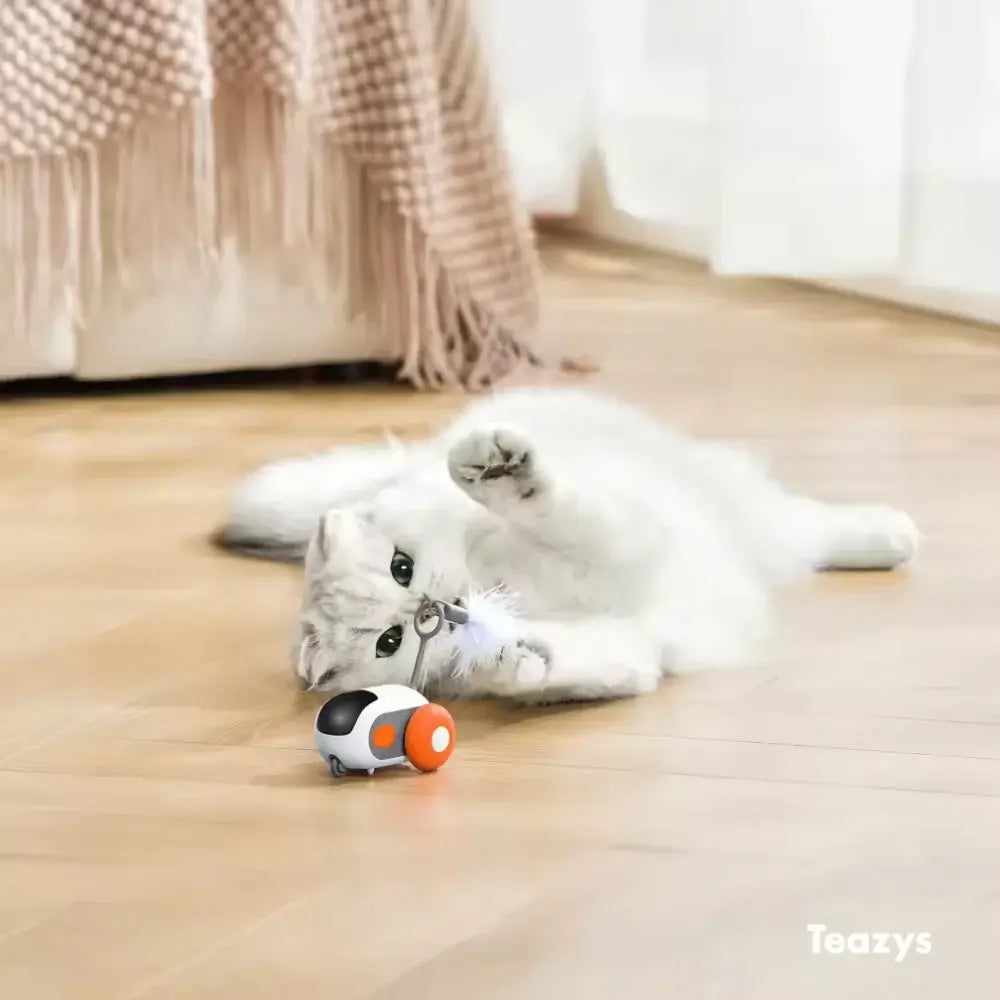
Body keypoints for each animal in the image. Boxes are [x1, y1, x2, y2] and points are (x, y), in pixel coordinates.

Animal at [223, 384, 916, 704]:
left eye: (401, 567)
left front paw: (497, 470)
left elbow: (556, 510)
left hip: (752, 518)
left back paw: (893, 536)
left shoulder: (625, 540)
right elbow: (572, 667)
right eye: (390, 643)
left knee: (815, 527)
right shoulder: (631, 646)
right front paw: (513, 658)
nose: (432, 612)